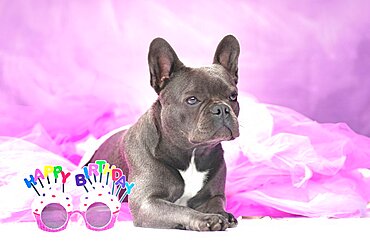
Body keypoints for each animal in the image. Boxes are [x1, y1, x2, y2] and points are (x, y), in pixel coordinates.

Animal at [85, 35, 241, 232]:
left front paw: (223, 214)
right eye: (192, 100)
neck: (192, 153)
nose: (221, 109)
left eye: (233, 96)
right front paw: (205, 218)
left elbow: (216, 203)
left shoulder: (215, 195)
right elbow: (179, 209)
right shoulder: (147, 203)